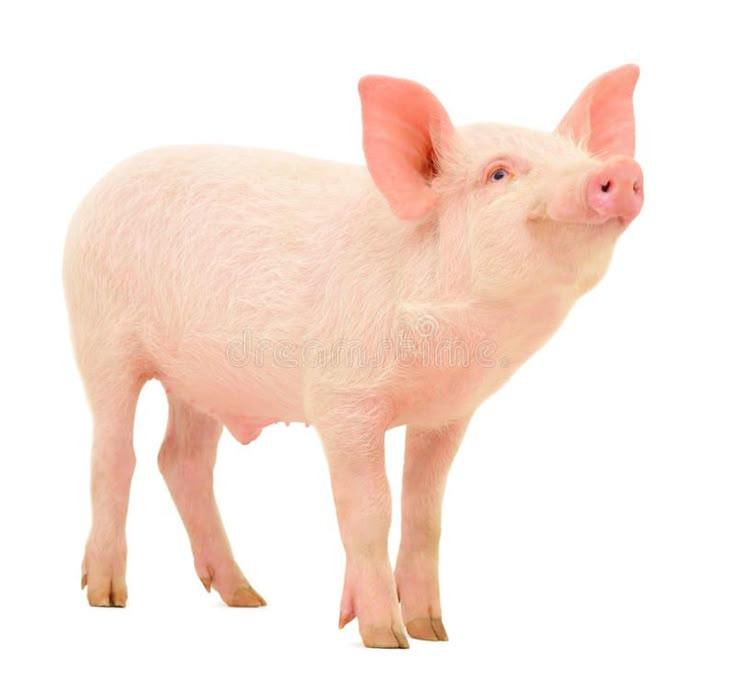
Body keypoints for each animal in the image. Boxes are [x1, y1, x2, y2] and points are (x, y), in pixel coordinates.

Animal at [63, 63, 644, 648]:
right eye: (499, 174)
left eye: (579, 158)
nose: (618, 171)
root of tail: (94, 193)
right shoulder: (341, 400)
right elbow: (368, 508)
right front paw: (386, 638)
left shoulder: (448, 413)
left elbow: (424, 510)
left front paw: (431, 632)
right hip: (99, 336)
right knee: (114, 454)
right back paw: (107, 596)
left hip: (198, 381)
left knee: (182, 460)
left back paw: (248, 598)